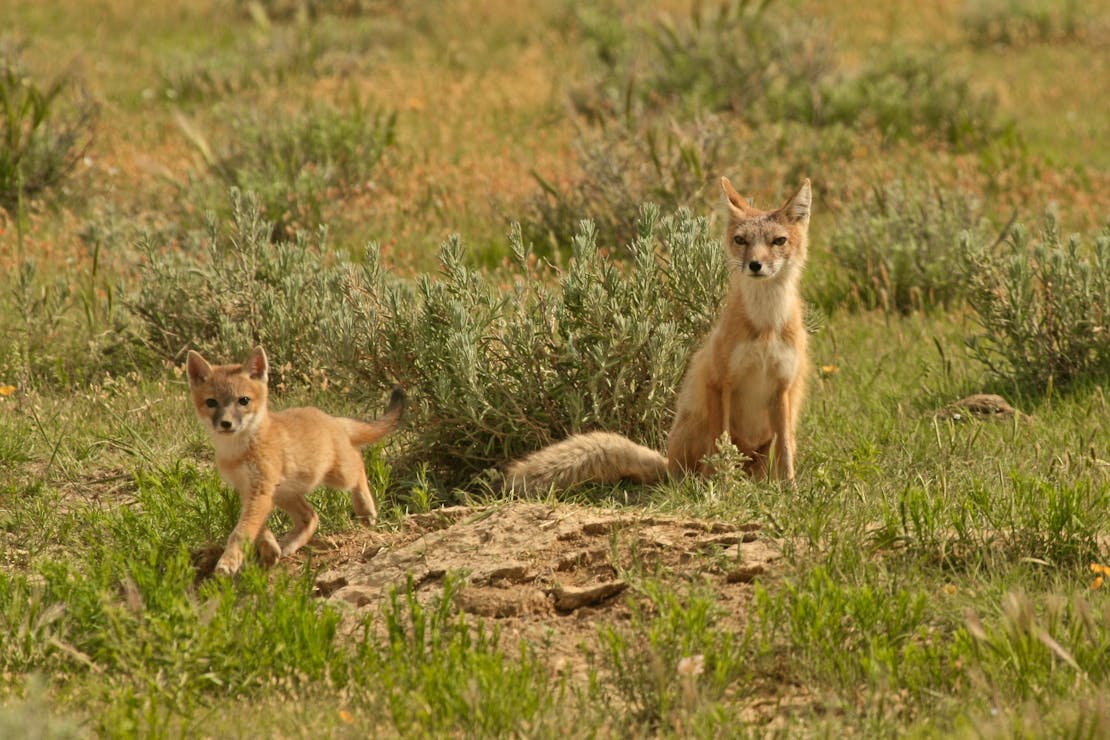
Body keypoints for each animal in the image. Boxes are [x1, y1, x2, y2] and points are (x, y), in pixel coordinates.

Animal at [185, 346, 404, 575]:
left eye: (243, 400)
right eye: (211, 402)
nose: (226, 423)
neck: (238, 453)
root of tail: (331, 419)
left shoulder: (260, 490)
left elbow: (241, 531)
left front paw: (228, 561)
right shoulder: (248, 490)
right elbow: (256, 526)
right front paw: (269, 547)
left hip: (338, 477)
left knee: (359, 464)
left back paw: (365, 509)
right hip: (284, 494)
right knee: (311, 516)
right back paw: (288, 545)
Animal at [506, 176, 811, 492]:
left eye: (778, 241)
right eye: (741, 241)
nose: (755, 265)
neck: (765, 327)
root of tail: (669, 464)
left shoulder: (783, 387)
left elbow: (785, 450)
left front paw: (790, 489)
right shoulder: (718, 381)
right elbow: (721, 444)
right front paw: (722, 488)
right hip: (696, 425)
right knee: (702, 466)